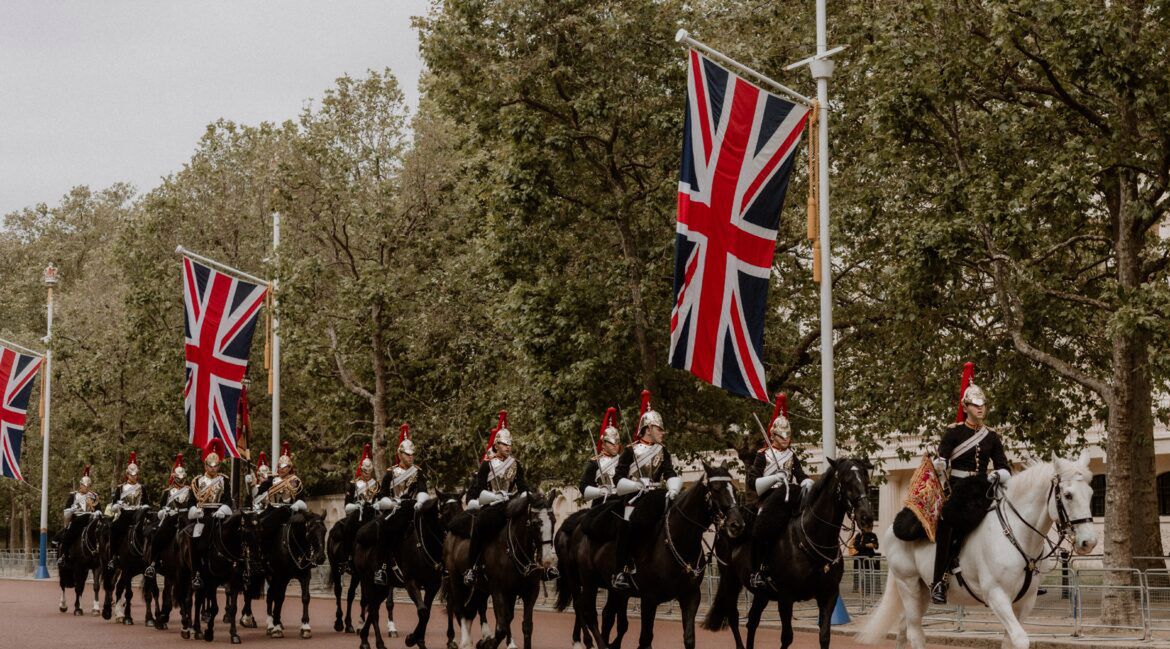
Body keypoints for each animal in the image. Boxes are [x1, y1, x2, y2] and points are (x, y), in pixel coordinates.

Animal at [258, 507, 325, 640]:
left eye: (325, 531)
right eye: (310, 531)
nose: (321, 557)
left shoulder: (305, 576)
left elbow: (305, 597)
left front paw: (305, 626)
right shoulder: (281, 576)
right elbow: (279, 598)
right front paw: (276, 628)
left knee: (273, 595)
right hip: (271, 576)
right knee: (271, 596)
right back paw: (271, 624)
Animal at [570, 463, 744, 649]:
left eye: (734, 489)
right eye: (716, 489)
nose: (737, 525)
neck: (677, 542)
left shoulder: (690, 596)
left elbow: (689, 638)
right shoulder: (649, 599)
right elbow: (645, 639)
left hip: (612, 589)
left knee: (606, 614)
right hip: (589, 580)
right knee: (588, 611)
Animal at [697, 456, 875, 649]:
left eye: (866, 479)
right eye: (846, 480)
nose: (866, 517)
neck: (813, 540)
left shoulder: (829, 595)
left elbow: (824, 636)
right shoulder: (785, 597)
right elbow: (787, 637)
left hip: (761, 593)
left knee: (752, 621)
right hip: (731, 581)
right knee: (734, 618)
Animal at [861, 451, 1095, 649]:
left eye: (1091, 493)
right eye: (1068, 495)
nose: (1089, 542)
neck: (1017, 534)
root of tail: (892, 528)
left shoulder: (1025, 601)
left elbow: (1009, 641)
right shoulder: (996, 596)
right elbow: (1020, 639)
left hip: (922, 591)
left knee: (903, 628)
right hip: (908, 584)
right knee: (914, 632)